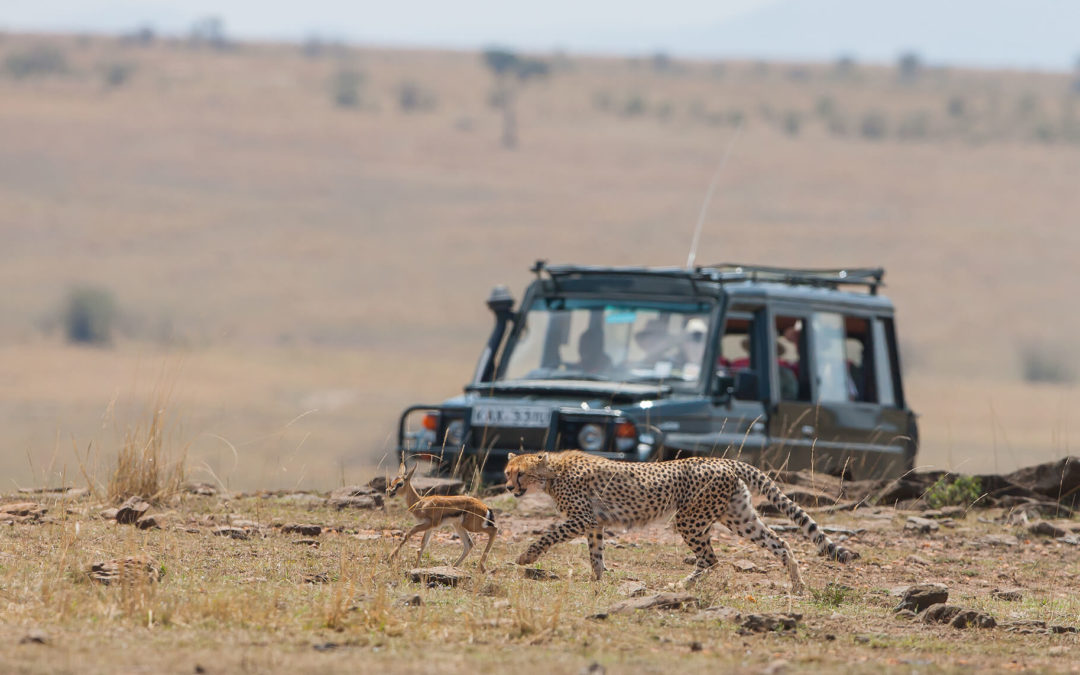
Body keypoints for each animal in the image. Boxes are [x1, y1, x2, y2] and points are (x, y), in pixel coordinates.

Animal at [507, 453, 859, 587]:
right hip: (739, 517)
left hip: (688, 519)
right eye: (508, 472)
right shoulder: (594, 523)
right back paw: (798, 585)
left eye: (519, 473)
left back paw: (681, 585)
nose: (510, 488)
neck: (551, 471)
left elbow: (549, 535)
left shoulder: (582, 517)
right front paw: (599, 579)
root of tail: (725, 460)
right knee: (780, 542)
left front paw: (526, 556)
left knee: (711, 558)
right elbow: (595, 553)